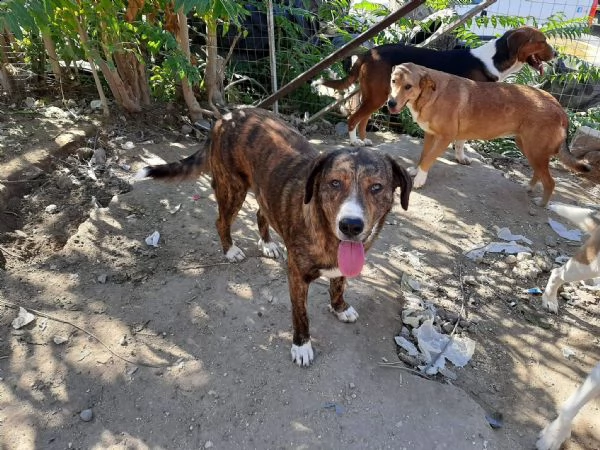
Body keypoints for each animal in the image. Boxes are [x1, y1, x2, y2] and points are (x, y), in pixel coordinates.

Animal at [138, 108, 412, 366]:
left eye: (376, 187)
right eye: (334, 183)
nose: (351, 226)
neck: (327, 233)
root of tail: (226, 116)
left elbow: (338, 285)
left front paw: (339, 308)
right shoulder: (297, 275)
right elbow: (300, 314)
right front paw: (301, 345)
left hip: (261, 190)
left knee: (261, 212)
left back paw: (268, 244)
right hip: (232, 188)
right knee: (221, 221)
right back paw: (230, 250)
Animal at [384, 62, 592, 207]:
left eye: (408, 86)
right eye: (393, 81)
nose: (391, 103)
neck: (431, 93)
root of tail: (559, 106)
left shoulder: (445, 138)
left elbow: (429, 159)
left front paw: (420, 179)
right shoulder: (430, 134)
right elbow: (423, 155)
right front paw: (416, 170)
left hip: (535, 151)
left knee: (550, 182)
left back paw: (541, 203)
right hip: (528, 147)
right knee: (539, 173)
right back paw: (529, 187)